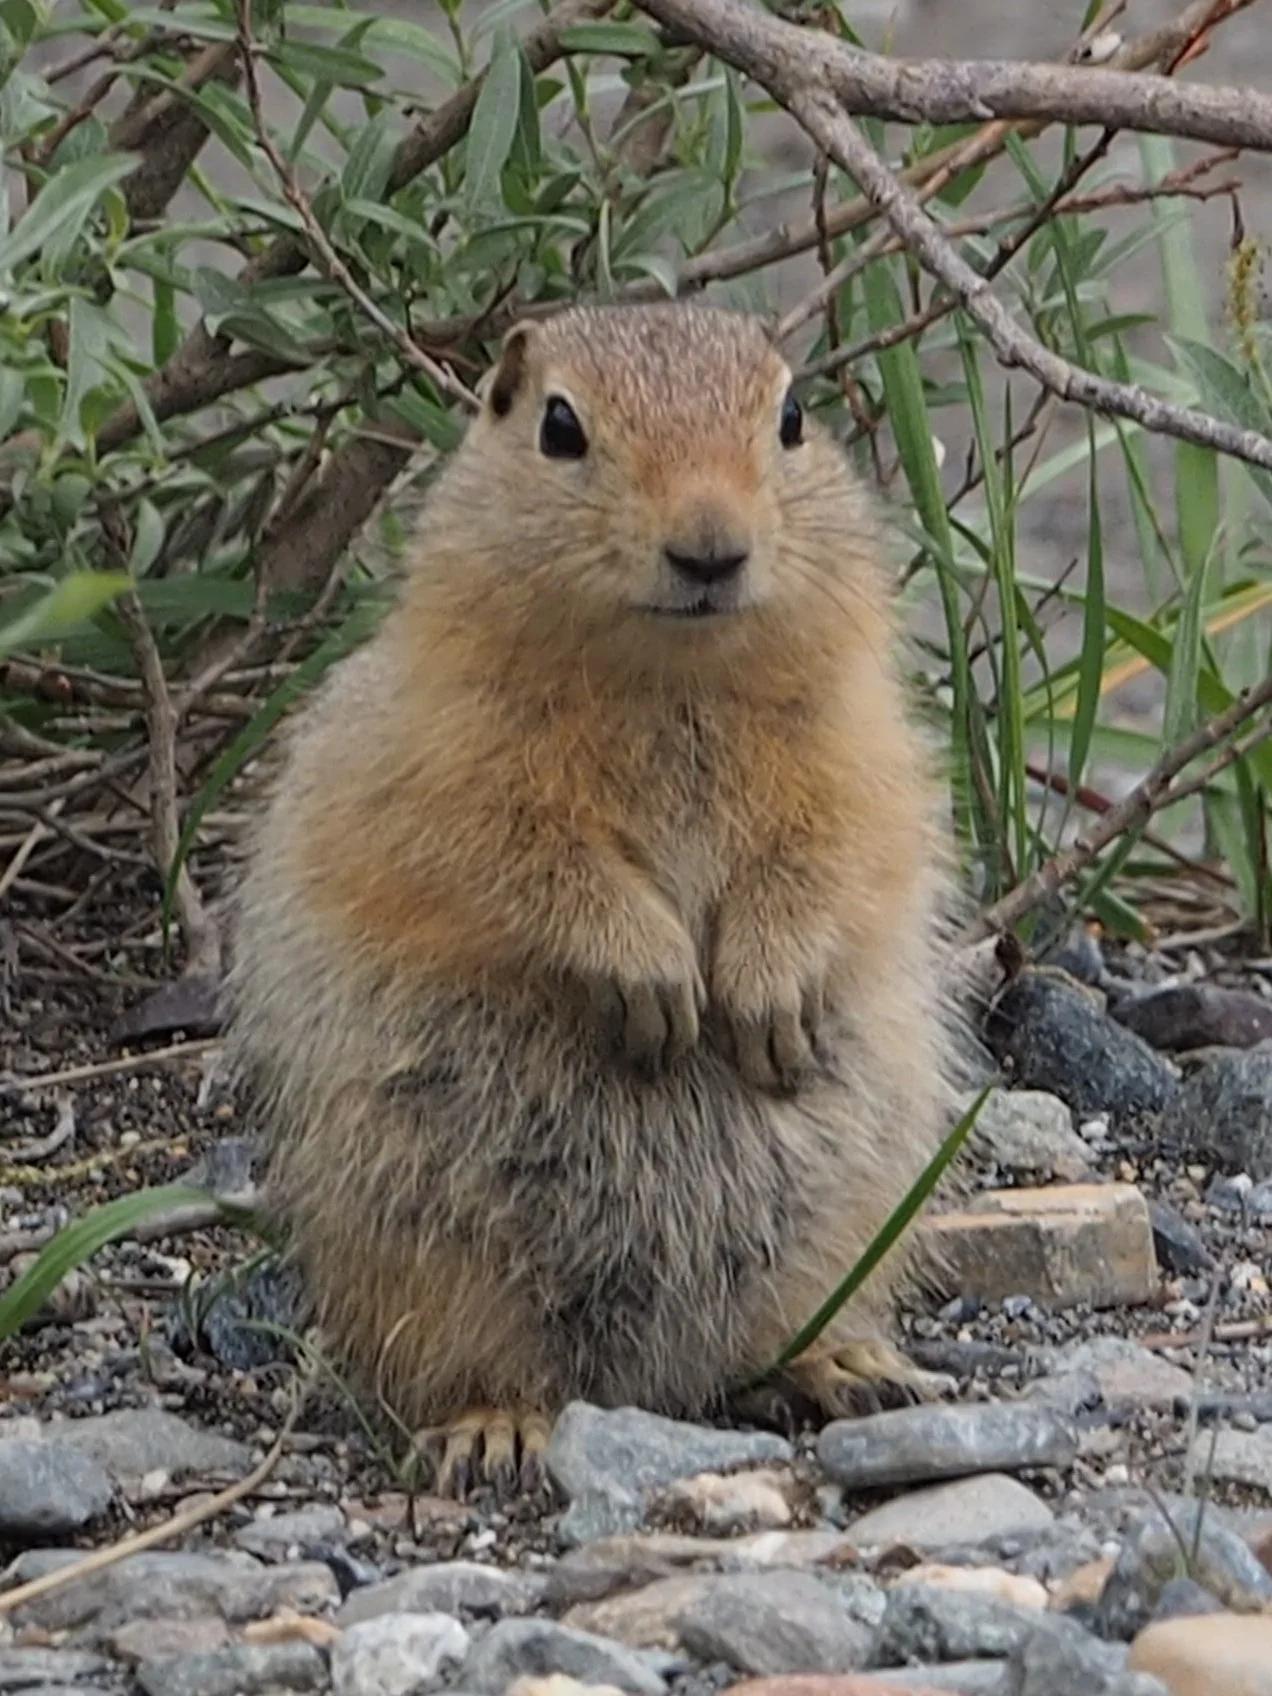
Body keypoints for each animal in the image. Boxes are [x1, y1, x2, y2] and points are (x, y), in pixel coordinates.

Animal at [227, 302, 961, 1496]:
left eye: (793, 417)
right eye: (559, 427)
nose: (710, 547)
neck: (672, 677)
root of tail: (653, 1378)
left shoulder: (863, 757)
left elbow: (833, 854)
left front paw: (762, 999)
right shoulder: (444, 771)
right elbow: (527, 865)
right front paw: (657, 985)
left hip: (852, 1216)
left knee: (778, 1335)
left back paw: (850, 1367)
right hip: (424, 1245)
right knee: (474, 1359)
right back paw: (494, 1431)